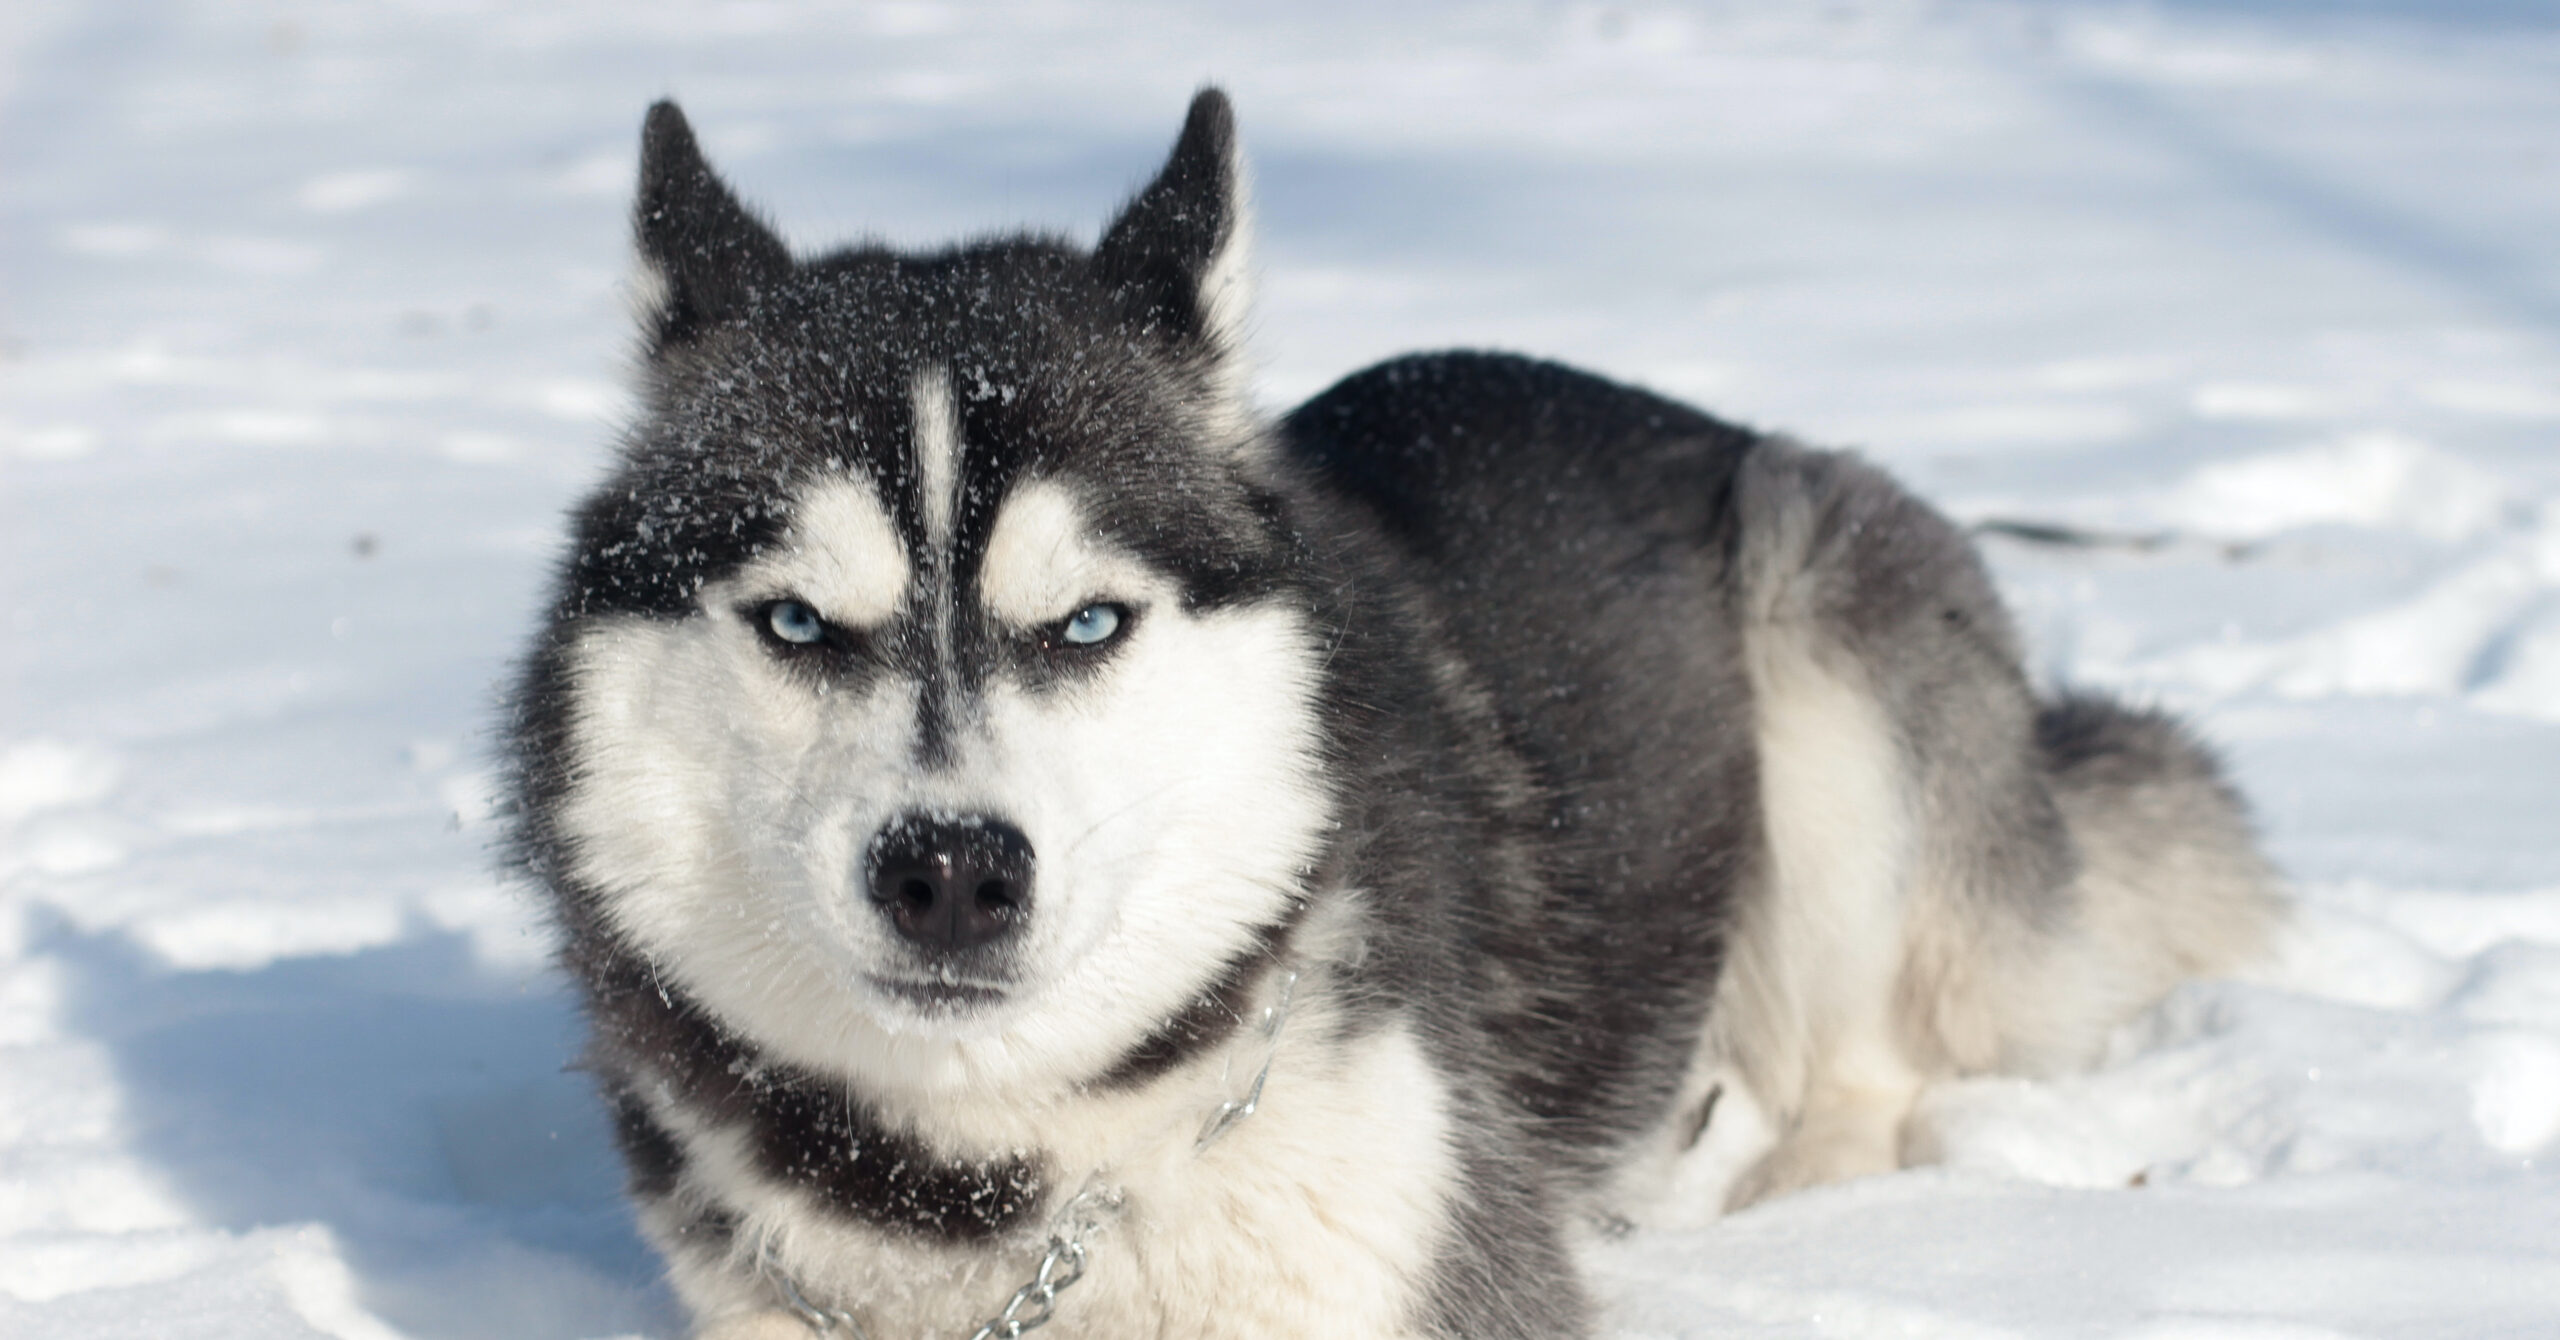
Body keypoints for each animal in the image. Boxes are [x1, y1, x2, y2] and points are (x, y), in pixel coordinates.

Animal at [499, 89, 2283, 1332]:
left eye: (1089, 621)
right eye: (798, 621)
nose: (950, 871)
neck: (1005, 1183)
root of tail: (1689, 416)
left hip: (1818, 624)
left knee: (1868, 1069)